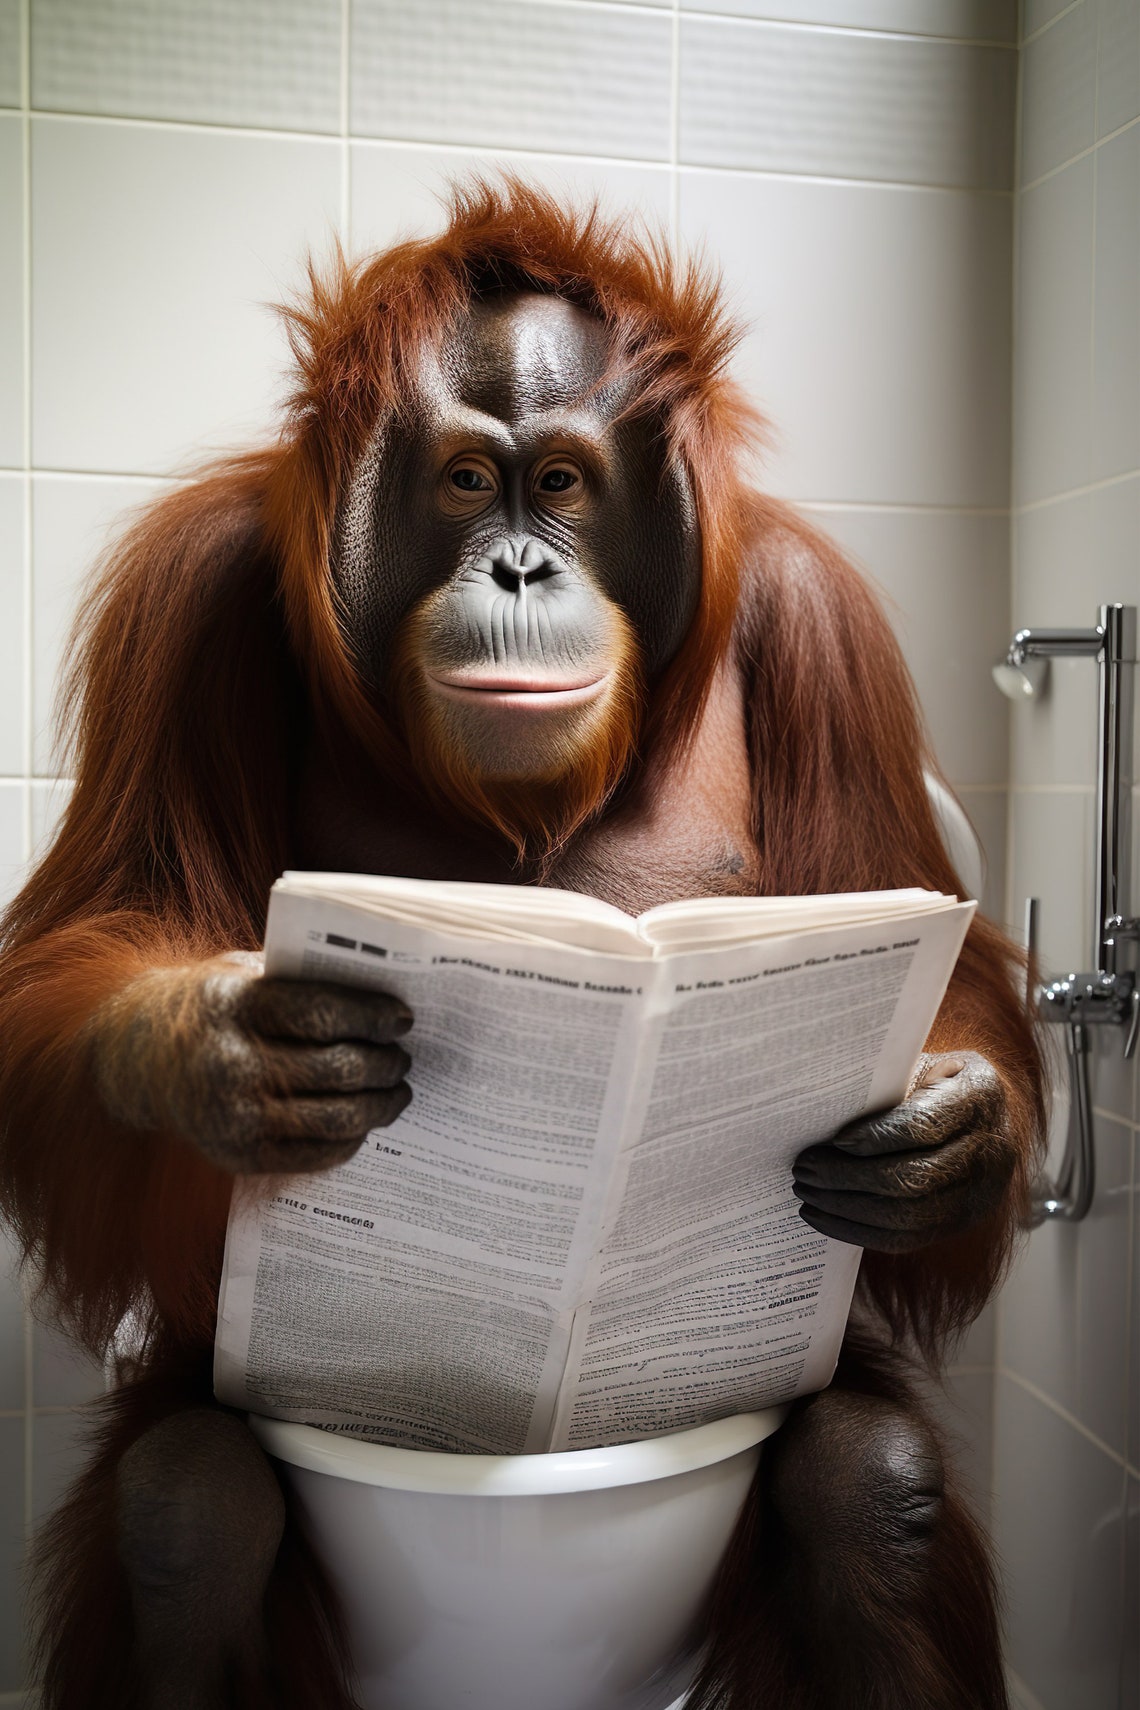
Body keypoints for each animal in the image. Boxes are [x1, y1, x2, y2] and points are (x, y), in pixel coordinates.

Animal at [0, 182, 1043, 1710]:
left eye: (557, 482)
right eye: (459, 483)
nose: (516, 563)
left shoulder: (819, 618)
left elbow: (906, 918)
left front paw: (946, 1137)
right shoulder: (187, 595)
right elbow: (97, 924)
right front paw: (215, 1054)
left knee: (875, 1482)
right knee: (183, 1509)